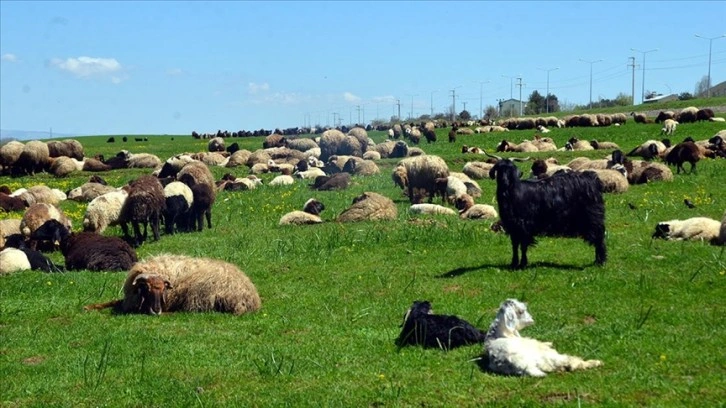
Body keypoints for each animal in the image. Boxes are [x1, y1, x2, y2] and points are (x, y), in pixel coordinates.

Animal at [84, 255, 264, 316]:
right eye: (147, 288)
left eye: (164, 289)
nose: (156, 310)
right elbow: (112, 302)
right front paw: (88, 307)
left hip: (197, 294)